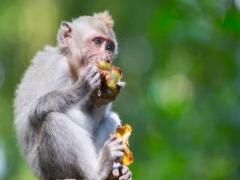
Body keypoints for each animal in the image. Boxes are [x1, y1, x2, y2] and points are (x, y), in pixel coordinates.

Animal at [14, 11, 132, 180]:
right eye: (97, 42)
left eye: (109, 47)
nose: (107, 58)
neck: (72, 68)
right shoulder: (57, 68)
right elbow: (34, 111)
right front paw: (83, 85)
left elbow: (95, 119)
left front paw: (109, 91)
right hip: (51, 169)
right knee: (53, 120)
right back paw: (98, 171)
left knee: (111, 118)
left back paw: (114, 172)